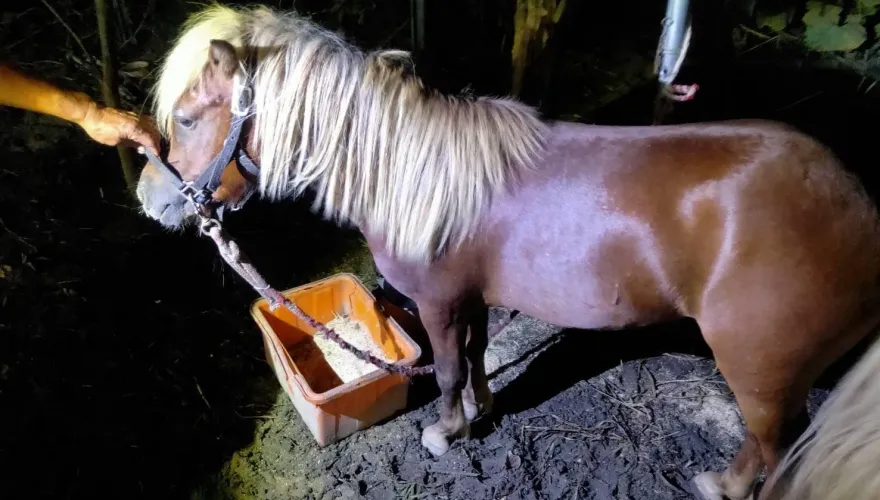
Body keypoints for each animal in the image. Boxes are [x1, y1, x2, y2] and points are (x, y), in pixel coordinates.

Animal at [134, 5, 880, 499]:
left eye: (190, 118)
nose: (149, 197)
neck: (411, 174)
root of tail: (858, 207)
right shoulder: (472, 299)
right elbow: (473, 358)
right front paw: (484, 413)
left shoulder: (437, 302)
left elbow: (445, 372)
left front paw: (445, 433)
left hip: (761, 374)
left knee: (772, 453)